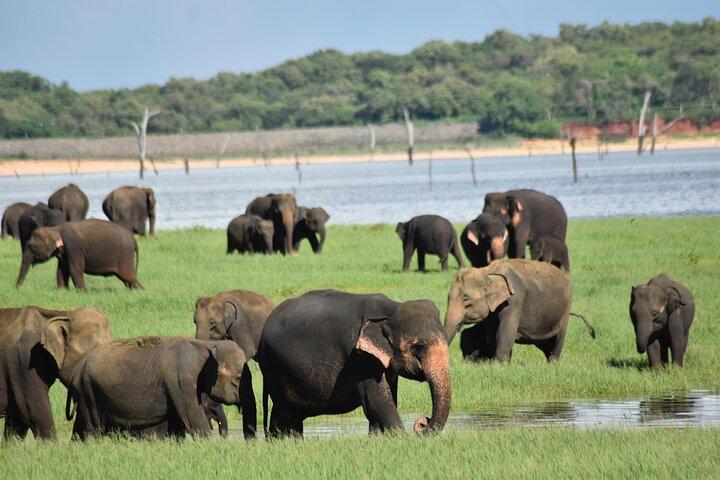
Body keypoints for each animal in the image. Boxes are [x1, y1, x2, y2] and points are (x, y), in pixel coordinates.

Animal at [66, 337, 247, 439]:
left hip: (85, 392)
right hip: (89, 391)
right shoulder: (181, 382)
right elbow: (193, 418)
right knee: (92, 428)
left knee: (81, 427)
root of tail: (77, 368)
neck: (206, 345)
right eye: (238, 378)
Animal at [258, 290, 451, 437]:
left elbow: (386, 398)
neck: (391, 309)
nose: (422, 423)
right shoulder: (359, 359)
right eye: (418, 348)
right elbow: (377, 401)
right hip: (275, 367)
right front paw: (400, 438)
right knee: (289, 415)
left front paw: (378, 439)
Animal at [444, 259, 595, 363]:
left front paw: (498, 365)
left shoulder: (514, 300)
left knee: (558, 340)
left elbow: (506, 332)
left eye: (467, 301)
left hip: (565, 309)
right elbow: (493, 334)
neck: (487, 271)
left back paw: (553, 363)